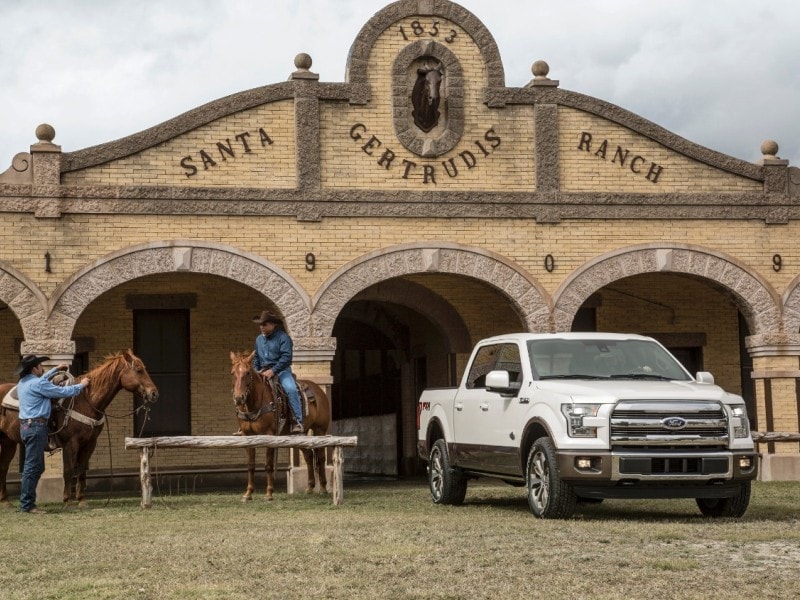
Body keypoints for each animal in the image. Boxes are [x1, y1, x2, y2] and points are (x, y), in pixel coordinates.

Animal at [0, 350, 159, 508]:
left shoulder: (90, 443)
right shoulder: (71, 443)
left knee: (4, 467)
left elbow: (82, 470)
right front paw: (67, 500)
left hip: (8, 443)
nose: (154, 393)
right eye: (138, 370)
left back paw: (5, 501)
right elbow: (69, 470)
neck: (85, 401)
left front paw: (82, 500)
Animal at [228, 352, 332, 502]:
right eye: (232, 373)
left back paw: (323, 488)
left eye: (247, 373)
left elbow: (268, 465)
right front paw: (248, 493)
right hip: (300, 434)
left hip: (320, 430)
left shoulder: (269, 435)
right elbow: (251, 465)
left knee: (321, 457)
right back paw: (310, 488)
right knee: (308, 456)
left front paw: (269, 493)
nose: (238, 398)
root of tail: (319, 390)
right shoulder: (247, 436)